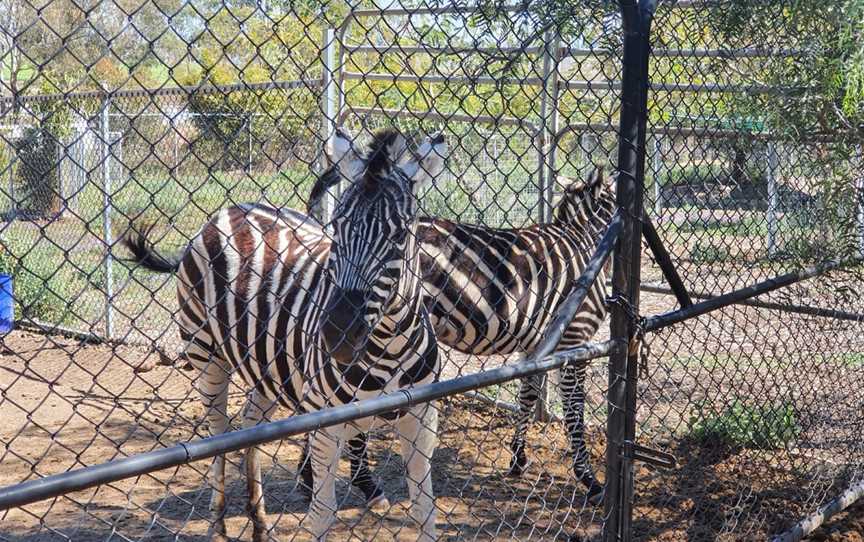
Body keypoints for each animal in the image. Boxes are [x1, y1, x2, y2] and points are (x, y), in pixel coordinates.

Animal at [125, 131, 448, 542]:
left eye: (401, 234)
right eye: (337, 228)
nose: (338, 335)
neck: (388, 346)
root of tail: (232, 209)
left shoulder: (422, 416)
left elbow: (425, 510)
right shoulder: (327, 425)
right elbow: (322, 512)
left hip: (267, 367)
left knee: (249, 423)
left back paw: (260, 522)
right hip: (205, 352)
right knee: (218, 434)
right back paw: (218, 524)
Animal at [304, 164, 616, 504]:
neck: (586, 242)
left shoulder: (535, 345)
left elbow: (527, 396)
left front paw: (518, 458)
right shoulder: (574, 339)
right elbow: (575, 411)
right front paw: (588, 478)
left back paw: (311, 477)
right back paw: (349, 481)